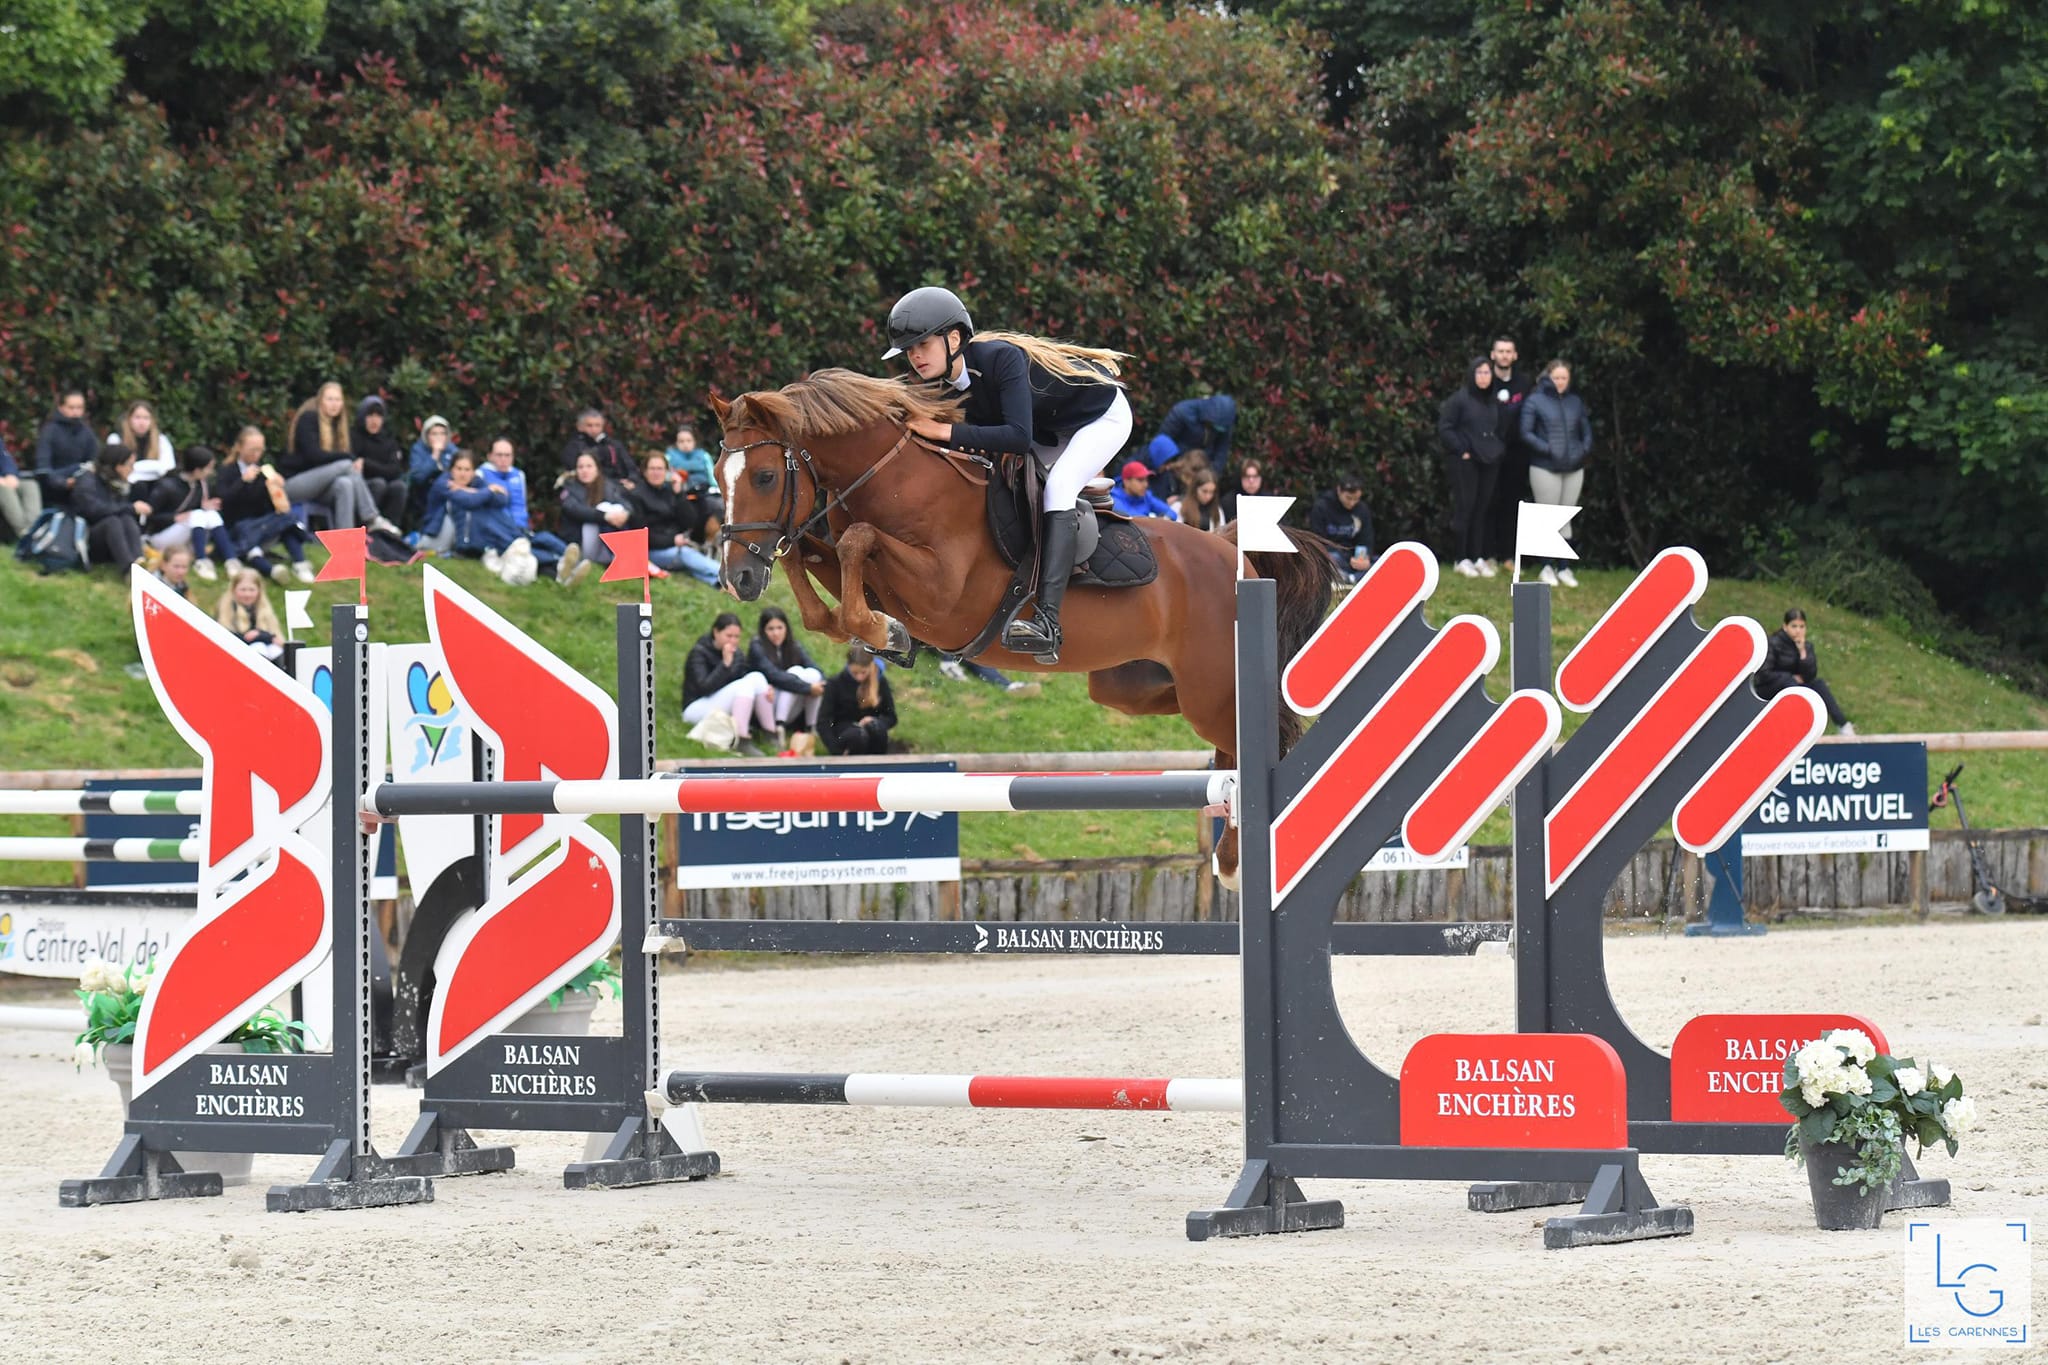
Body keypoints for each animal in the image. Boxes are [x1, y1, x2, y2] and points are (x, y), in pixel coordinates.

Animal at [712, 374, 1335, 888]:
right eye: (719, 478)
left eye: (765, 476)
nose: (737, 579)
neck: (893, 479)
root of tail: (1233, 551)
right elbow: (819, 565)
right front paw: (877, 632)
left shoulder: (943, 595)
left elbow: (854, 540)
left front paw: (883, 631)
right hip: (1133, 686)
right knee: (1223, 736)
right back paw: (1227, 843)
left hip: (1207, 688)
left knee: (1259, 733)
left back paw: (1237, 857)